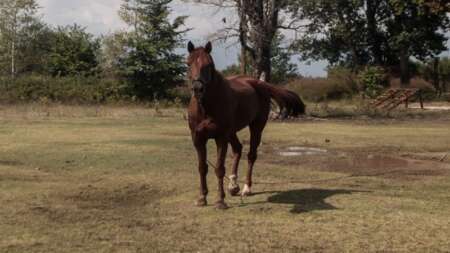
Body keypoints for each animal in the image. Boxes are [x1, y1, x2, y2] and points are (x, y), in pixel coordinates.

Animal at [186, 41, 306, 209]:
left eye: (209, 65)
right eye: (188, 63)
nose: (198, 89)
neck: (205, 107)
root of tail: (260, 83)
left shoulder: (220, 137)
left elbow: (219, 168)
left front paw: (220, 201)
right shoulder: (197, 138)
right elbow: (202, 167)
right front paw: (202, 198)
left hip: (256, 127)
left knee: (251, 155)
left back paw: (246, 188)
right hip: (232, 132)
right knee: (237, 149)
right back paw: (233, 186)